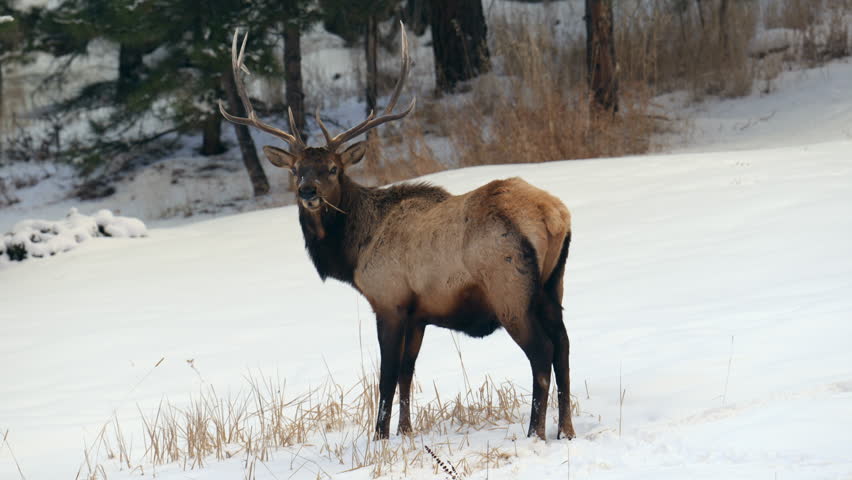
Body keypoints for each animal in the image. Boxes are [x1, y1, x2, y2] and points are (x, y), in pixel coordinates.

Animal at [219, 25, 576, 441]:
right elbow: (408, 371)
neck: (353, 251)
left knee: (542, 352)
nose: (307, 192)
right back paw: (566, 429)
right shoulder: (418, 313)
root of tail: (552, 215)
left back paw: (535, 432)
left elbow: (386, 376)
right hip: (553, 283)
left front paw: (379, 436)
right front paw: (405, 431)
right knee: (564, 346)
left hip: (509, 289)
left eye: (332, 169)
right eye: (296, 170)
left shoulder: (388, 300)